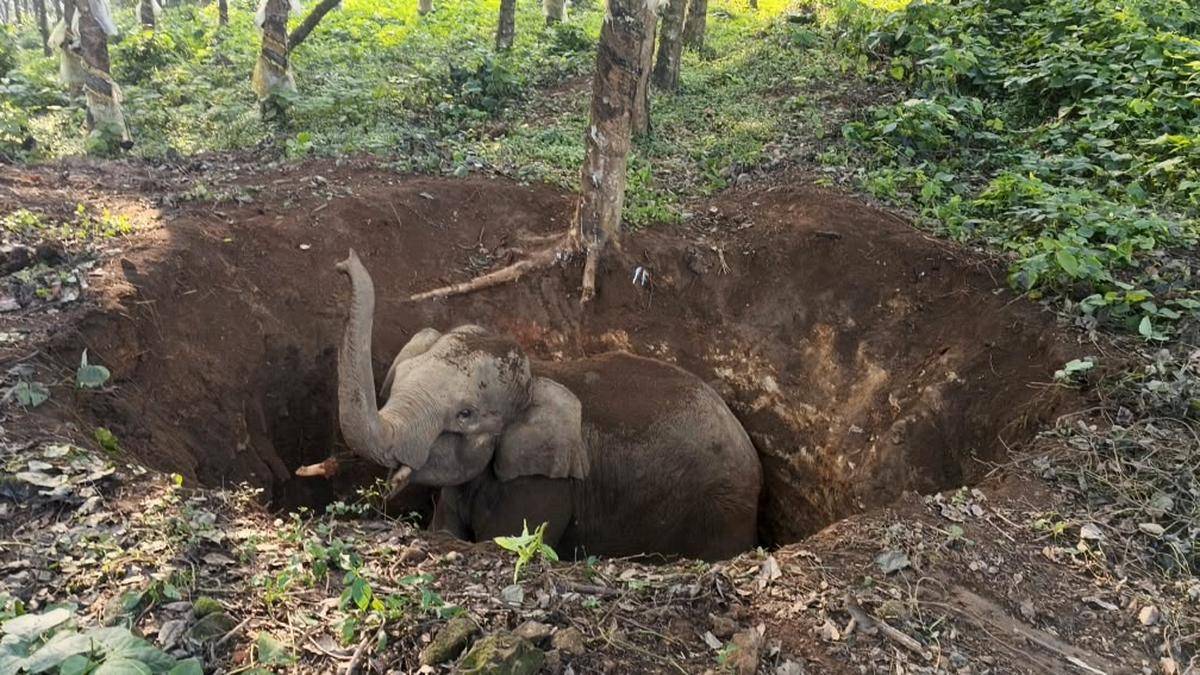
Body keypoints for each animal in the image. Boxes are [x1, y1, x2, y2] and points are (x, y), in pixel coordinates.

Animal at [334, 249, 762, 560]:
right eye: (397, 380)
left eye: (465, 415)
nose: (344, 263)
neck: (536, 374)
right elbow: (446, 529)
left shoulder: (545, 484)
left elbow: (506, 538)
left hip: (723, 510)